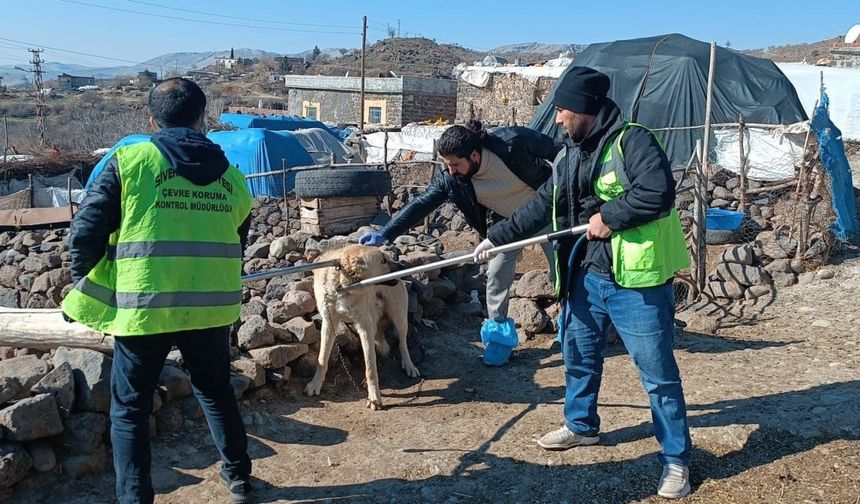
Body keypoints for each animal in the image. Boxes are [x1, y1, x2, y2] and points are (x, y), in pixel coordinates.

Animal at [304, 244, 422, 410]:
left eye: (386, 258)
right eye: (383, 260)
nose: (404, 267)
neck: (342, 286)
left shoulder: (365, 326)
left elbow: (371, 367)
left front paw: (374, 398)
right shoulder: (329, 324)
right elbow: (322, 358)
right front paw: (315, 384)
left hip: (399, 318)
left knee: (402, 344)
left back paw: (409, 365)